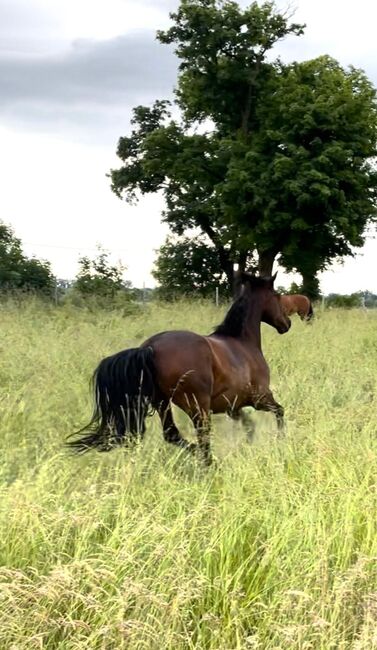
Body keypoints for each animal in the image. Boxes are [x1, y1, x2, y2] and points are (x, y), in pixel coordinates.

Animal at [67, 270, 290, 464]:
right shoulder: (260, 397)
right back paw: (210, 464)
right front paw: (280, 441)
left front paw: (249, 444)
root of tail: (149, 348)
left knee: (172, 434)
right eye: (277, 296)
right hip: (197, 406)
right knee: (202, 439)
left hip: (162, 402)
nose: (286, 324)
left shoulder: (232, 406)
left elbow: (250, 425)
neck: (242, 342)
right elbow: (280, 411)